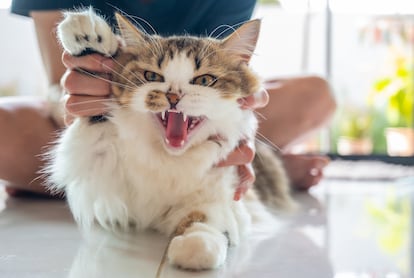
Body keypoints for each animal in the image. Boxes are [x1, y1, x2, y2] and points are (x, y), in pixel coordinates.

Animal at [47, 9, 294, 272]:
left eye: (204, 80)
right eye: (152, 76)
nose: (173, 96)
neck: (169, 159)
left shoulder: (222, 197)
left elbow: (207, 222)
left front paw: (195, 246)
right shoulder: (97, 161)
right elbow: (95, 112)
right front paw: (86, 30)